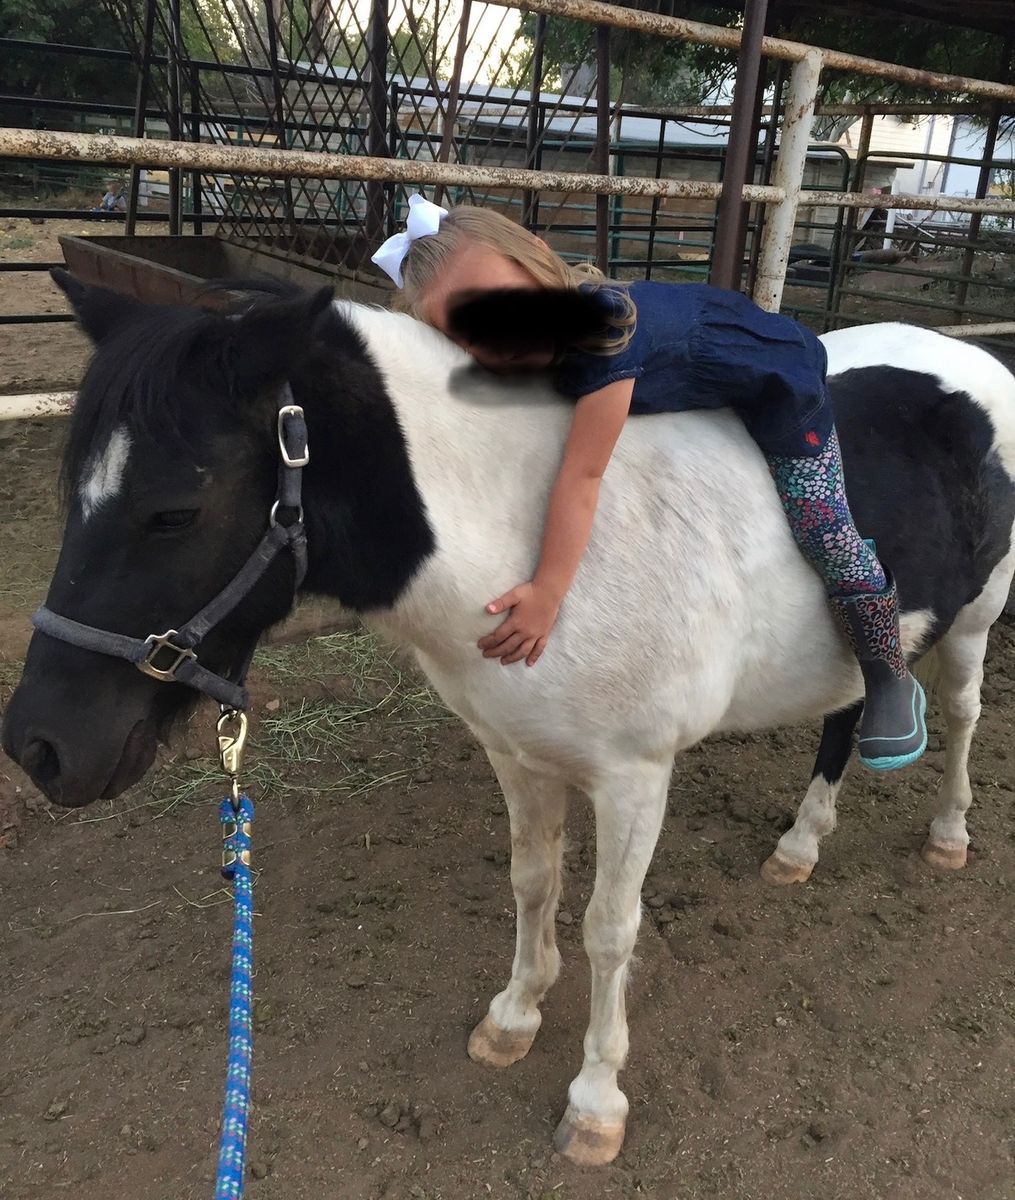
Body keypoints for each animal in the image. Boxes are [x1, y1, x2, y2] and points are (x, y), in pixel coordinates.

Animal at [4, 272, 1015, 1166]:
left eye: (176, 510)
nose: (40, 746)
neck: (532, 547)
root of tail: (968, 359)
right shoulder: (517, 755)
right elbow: (533, 884)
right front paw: (514, 1017)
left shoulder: (634, 776)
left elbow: (611, 928)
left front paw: (596, 1103)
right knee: (845, 714)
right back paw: (800, 844)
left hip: (971, 622)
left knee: (958, 714)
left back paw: (947, 833)